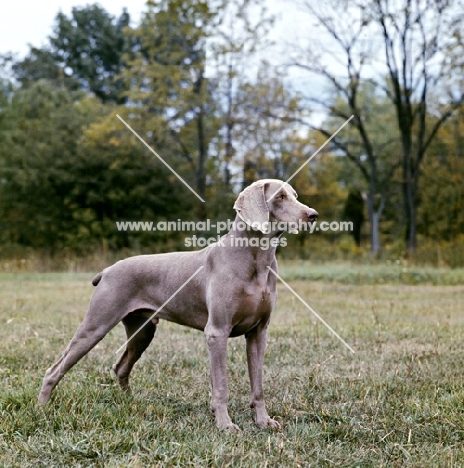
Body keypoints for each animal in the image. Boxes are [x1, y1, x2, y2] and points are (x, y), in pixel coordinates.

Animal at [38, 179, 318, 432]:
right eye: (279, 197)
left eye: (295, 195)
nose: (313, 215)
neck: (256, 259)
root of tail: (107, 270)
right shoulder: (217, 331)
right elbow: (221, 385)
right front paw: (225, 425)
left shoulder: (259, 332)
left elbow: (257, 385)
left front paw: (263, 421)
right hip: (96, 324)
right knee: (55, 369)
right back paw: (42, 408)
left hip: (143, 331)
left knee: (120, 367)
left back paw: (130, 403)